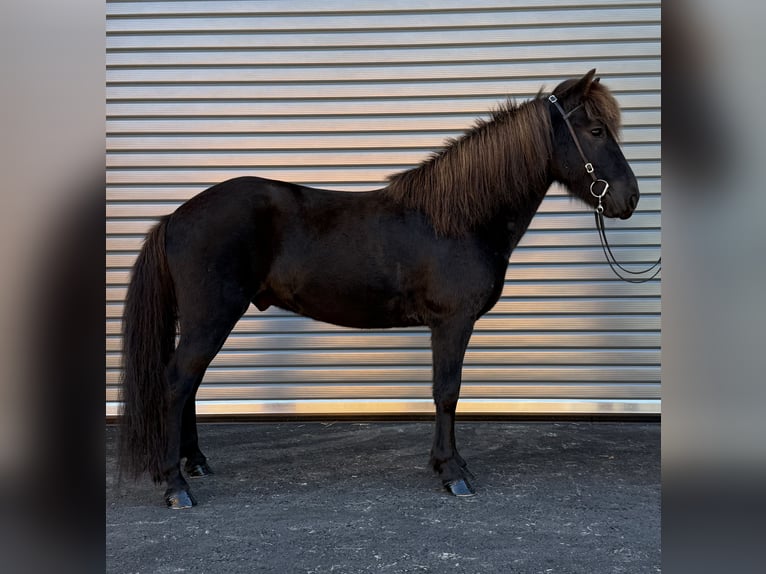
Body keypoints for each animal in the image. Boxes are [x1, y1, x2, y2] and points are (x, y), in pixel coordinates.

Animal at [118, 69, 639, 509]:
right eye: (596, 131)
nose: (629, 198)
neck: (459, 218)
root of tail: (175, 217)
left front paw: (452, 464)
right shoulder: (452, 323)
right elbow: (447, 391)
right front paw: (452, 473)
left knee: (189, 383)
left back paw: (195, 464)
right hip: (212, 316)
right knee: (177, 382)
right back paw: (176, 486)